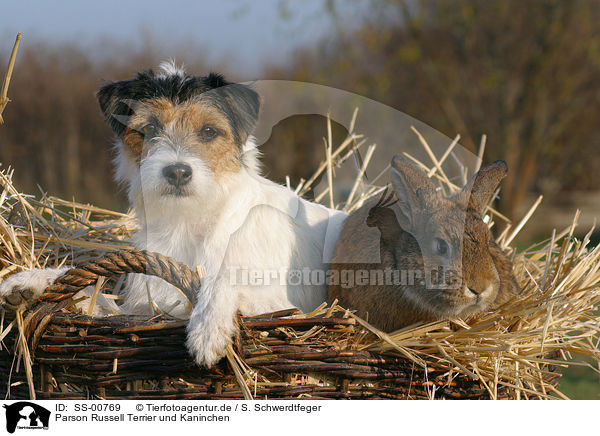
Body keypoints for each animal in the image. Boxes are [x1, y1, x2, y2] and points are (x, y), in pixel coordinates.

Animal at [0, 61, 346, 366]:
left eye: (208, 131)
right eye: (150, 128)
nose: (177, 172)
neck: (189, 221)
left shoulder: (290, 309)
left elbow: (224, 278)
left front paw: (207, 329)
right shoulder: (146, 307)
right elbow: (91, 293)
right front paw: (30, 282)